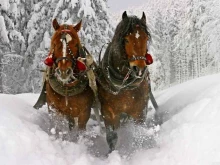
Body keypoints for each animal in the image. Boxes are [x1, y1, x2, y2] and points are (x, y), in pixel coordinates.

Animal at [96, 10, 151, 151]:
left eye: (146, 38)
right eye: (126, 40)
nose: (139, 69)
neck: (124, 86)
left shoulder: (140, 112)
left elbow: (139, 134)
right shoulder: (109, 113)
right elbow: (112, 137)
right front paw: (112, 153)